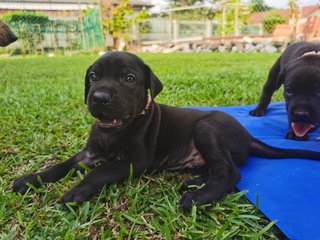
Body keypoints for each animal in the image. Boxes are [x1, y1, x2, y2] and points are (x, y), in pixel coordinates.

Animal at [13, 51, 320, 209]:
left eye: (129, 79)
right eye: (93, 77)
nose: (99, 97)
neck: (113, 131)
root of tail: (249, 135)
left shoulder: (136, 161)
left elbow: (100, 172)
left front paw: (78, 191)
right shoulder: (88, 154)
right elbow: (61, 165)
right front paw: (30, 178)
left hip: (206, 128)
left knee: (230, 171)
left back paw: (199, 196)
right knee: (219, 167)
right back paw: (194, 181)